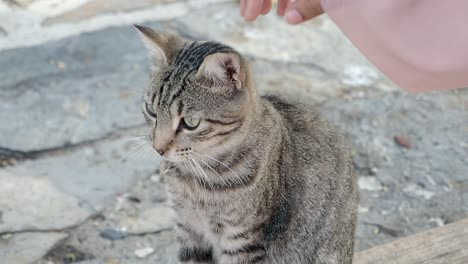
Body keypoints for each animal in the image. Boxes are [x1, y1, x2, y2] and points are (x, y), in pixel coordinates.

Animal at [135, 25, 358, 264]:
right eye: (151, 111)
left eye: (190, 122)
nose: (158, 148)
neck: (194, 178)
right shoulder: (187, 228)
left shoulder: (241, 240)